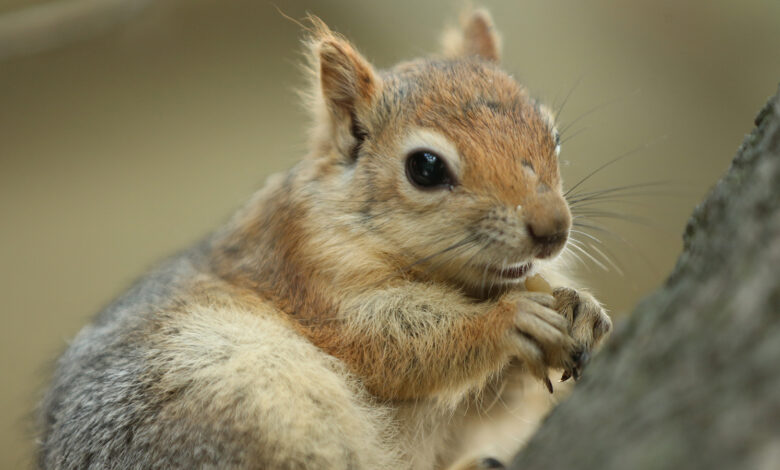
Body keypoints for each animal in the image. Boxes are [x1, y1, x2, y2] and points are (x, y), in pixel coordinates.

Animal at [36, 8, 608, 470]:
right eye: (425, 168)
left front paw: (578, 305)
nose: (553, 230)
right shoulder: (307, 274)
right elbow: (393, 344)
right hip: (248, 406)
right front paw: (510, 320)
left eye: (553, 135)